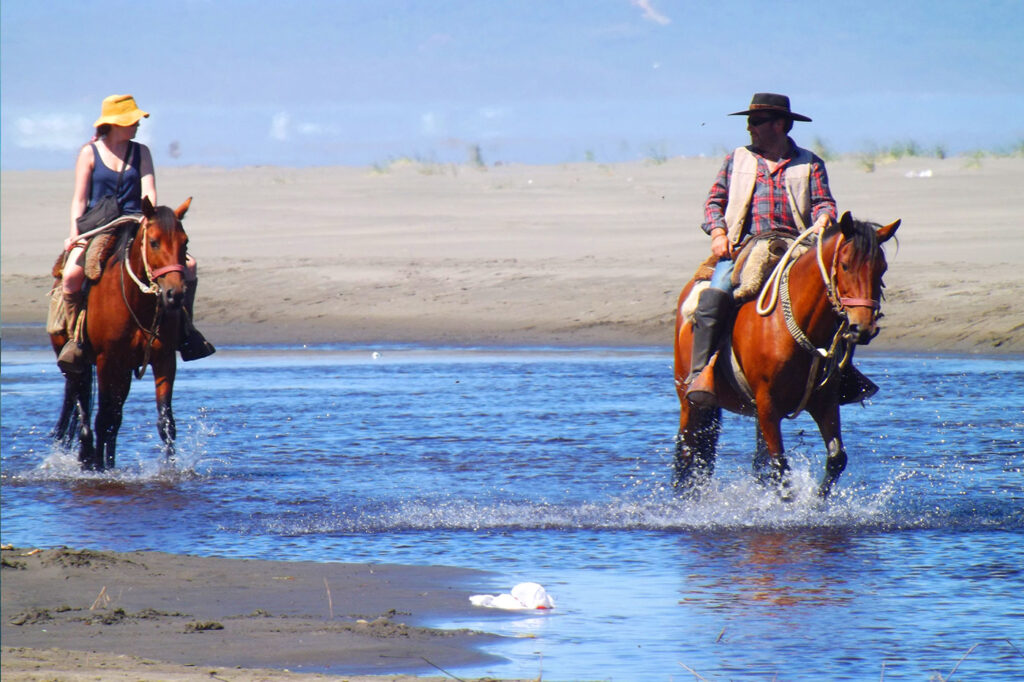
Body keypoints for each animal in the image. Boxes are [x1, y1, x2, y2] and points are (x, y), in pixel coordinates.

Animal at [49, 193, 193, 464]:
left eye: (185, 243)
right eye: (154, 243)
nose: (175, 294)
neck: (137, 301)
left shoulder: (164, 358)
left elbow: (166, 422)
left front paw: (171, 469)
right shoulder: (106, 360)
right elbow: (101, 418)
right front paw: (98, 467)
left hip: (123, 371)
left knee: (113, 419)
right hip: (77, 364)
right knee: (86, 412)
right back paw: (88, 458)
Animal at [675, 212, 901, 499]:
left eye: (881, 269)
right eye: (846, 265)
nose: (863, 328)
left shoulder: (825, 401)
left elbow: (836, 459)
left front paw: (816, 503)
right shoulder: (768, 405)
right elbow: (780, 469)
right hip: (690, 401)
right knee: (687, 456)